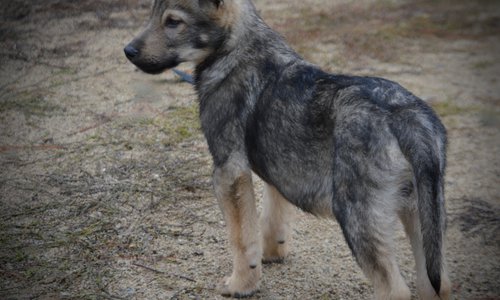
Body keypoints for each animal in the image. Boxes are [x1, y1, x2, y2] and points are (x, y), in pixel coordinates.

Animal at [125, 0, 454, 298]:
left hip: (358, 219)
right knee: (438, 285)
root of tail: (407, 116)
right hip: (423, 221)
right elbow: (271, 218)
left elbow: (241, 239)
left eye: (173, 22)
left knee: (395, 290)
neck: (237, 48)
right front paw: (272, 253)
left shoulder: (228, 171)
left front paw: (241, 284)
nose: (128, 51)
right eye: (153, 13)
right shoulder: (277, 170)